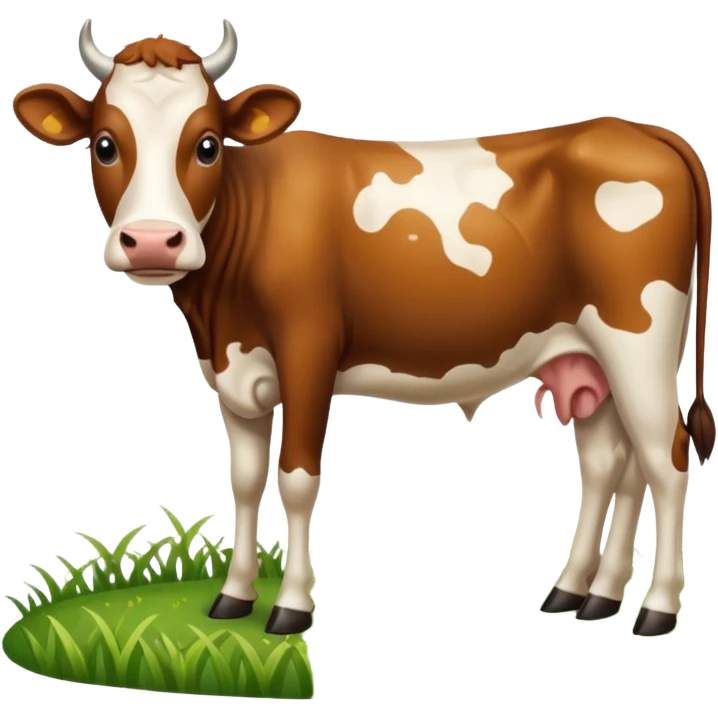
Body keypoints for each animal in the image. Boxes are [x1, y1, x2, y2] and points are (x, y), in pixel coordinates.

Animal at [12, 17, 715, 638]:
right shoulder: (234, 371)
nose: (154, 241)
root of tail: (641, 132)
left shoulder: (307, 354)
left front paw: (291, 609)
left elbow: (296, 480)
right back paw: (584, 595)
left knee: (667, 459)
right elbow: (245, 482)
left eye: (207, 144)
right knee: (612, 463)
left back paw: (656, 609)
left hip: (639, 344)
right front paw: (233, 598)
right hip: (586, 359)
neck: (218, 310)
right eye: (105, 144)